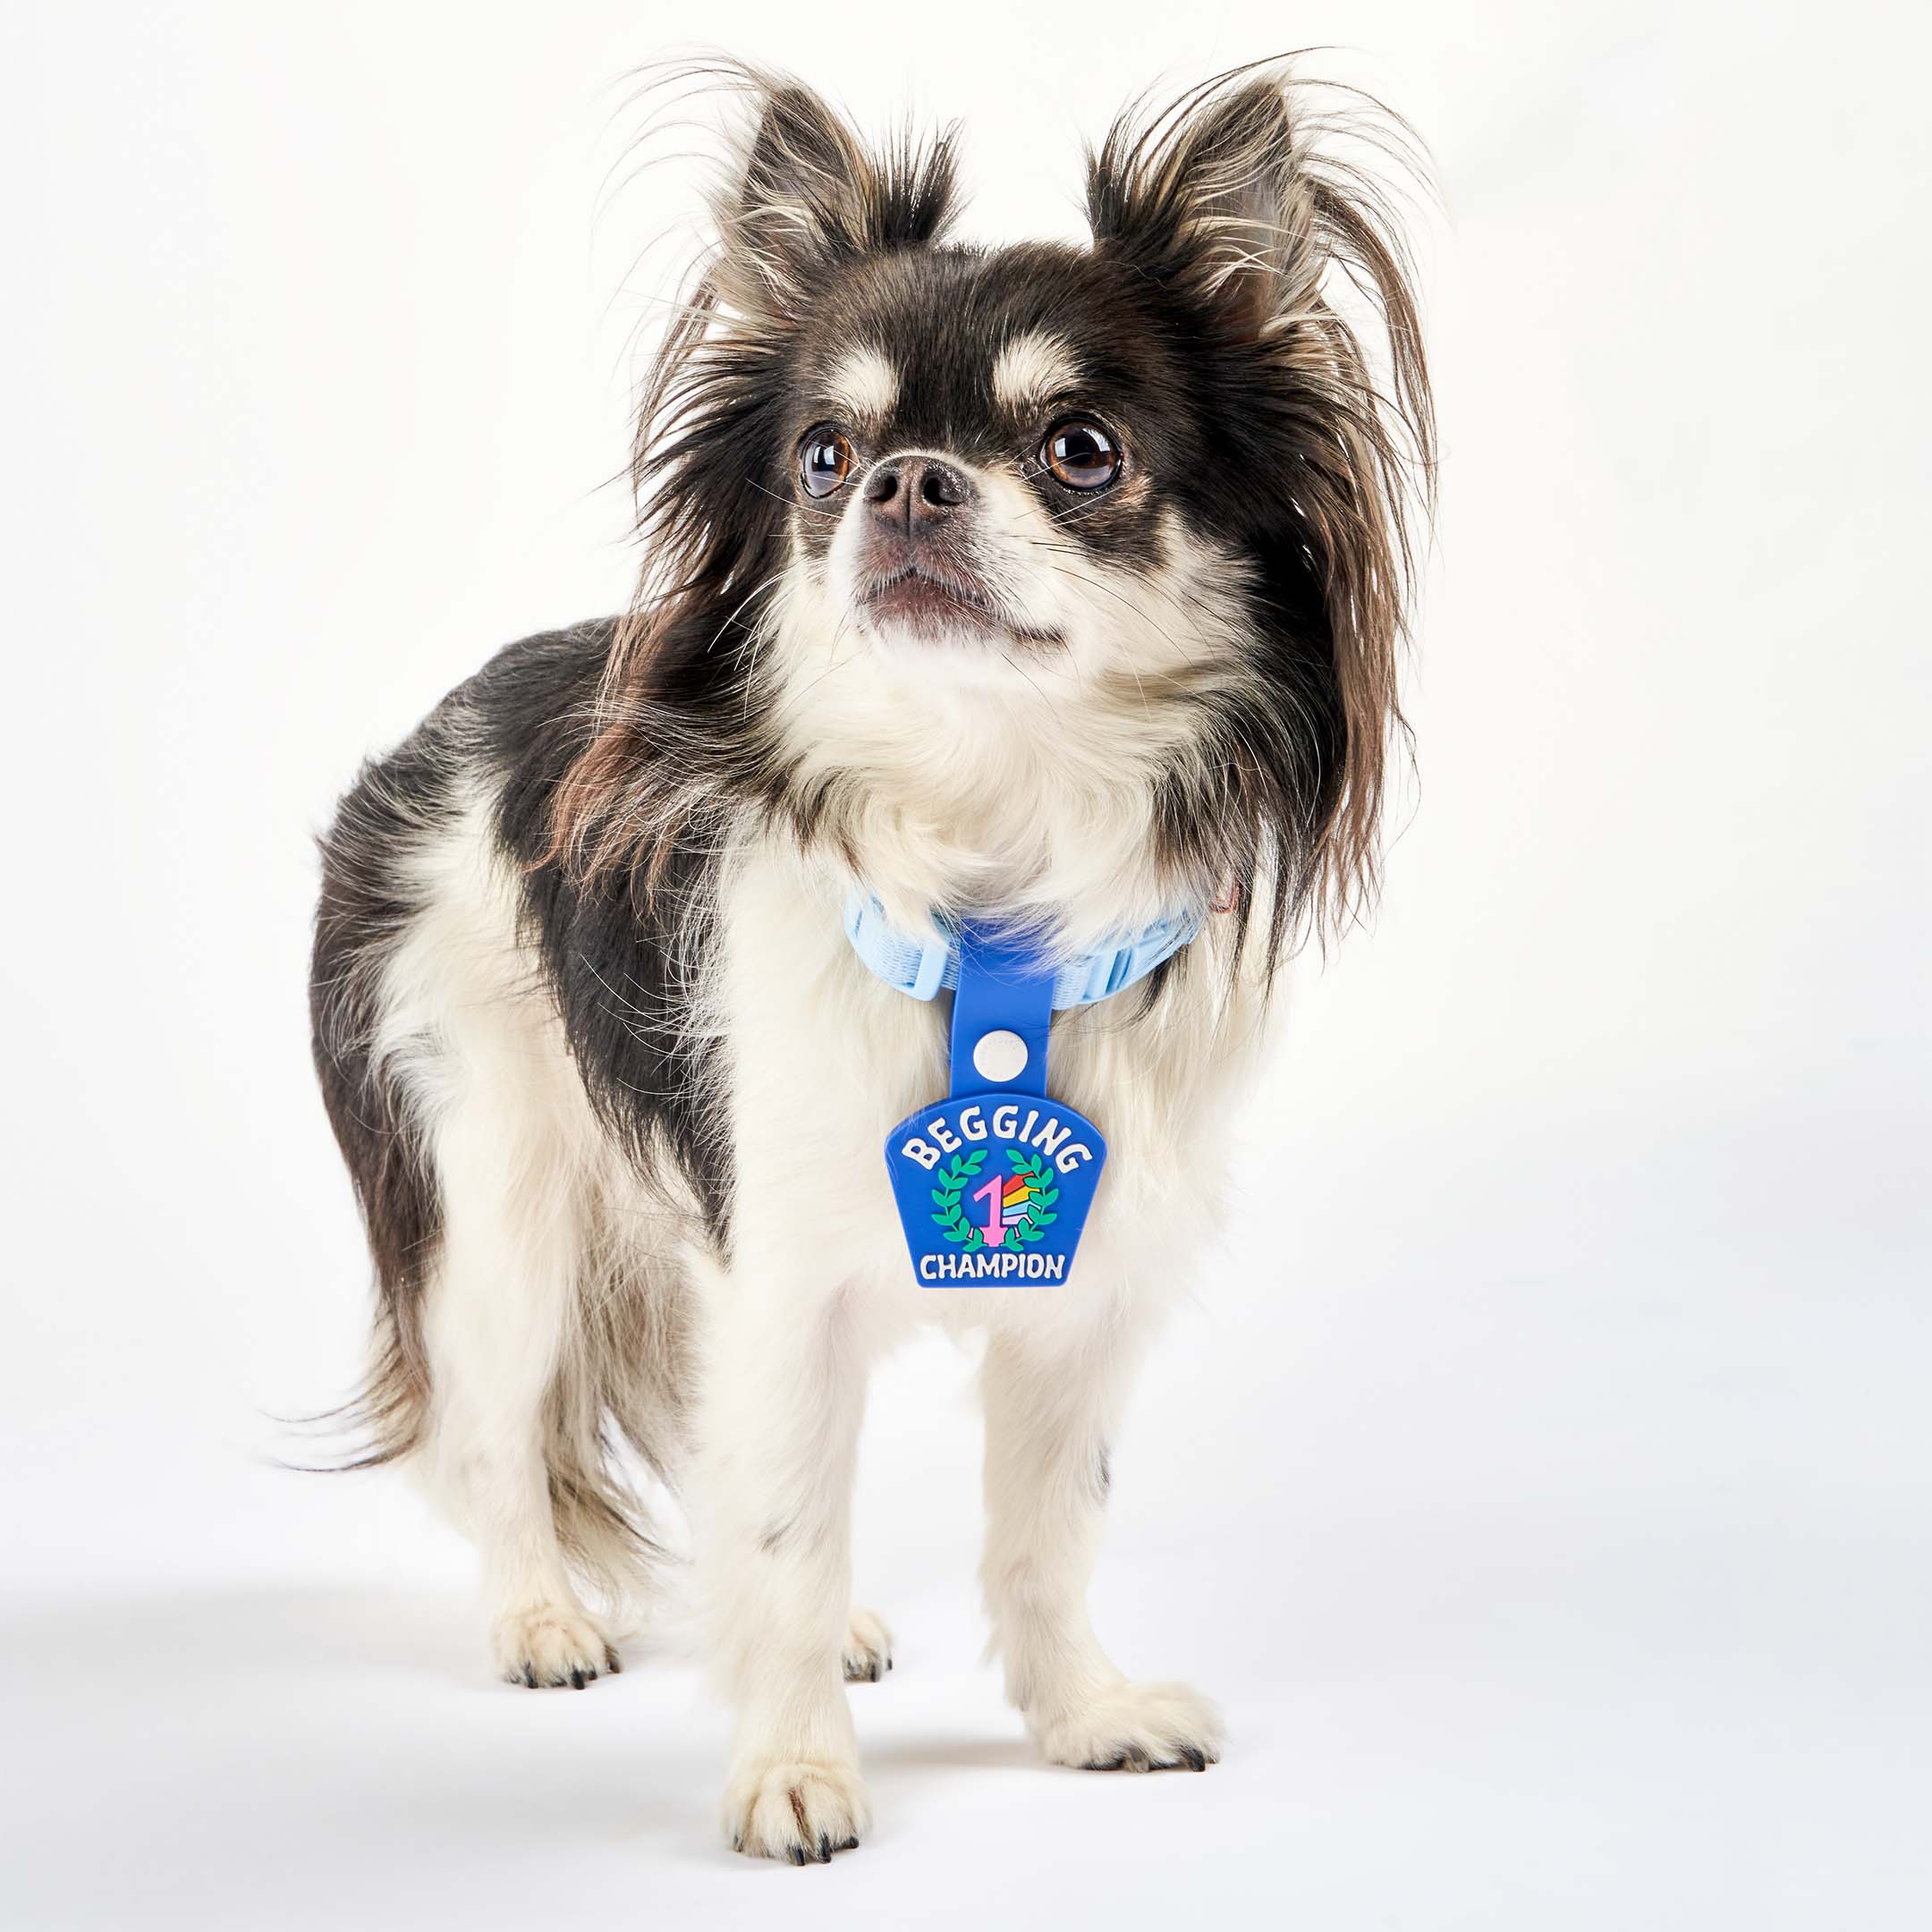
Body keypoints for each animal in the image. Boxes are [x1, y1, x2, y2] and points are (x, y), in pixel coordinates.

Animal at [309, 68, 1437, 1862]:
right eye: (824, 457)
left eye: (1083, 451)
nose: (906, 482)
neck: (990, 854)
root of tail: (439, 733)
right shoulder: (773, 1273)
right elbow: (777, 1518)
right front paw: (789, 1771)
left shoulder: (1078, 1301)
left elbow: (1044, 1530)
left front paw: (1082, 1718)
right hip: (498, 1195)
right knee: (496, 1428)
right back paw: (540, 1616)